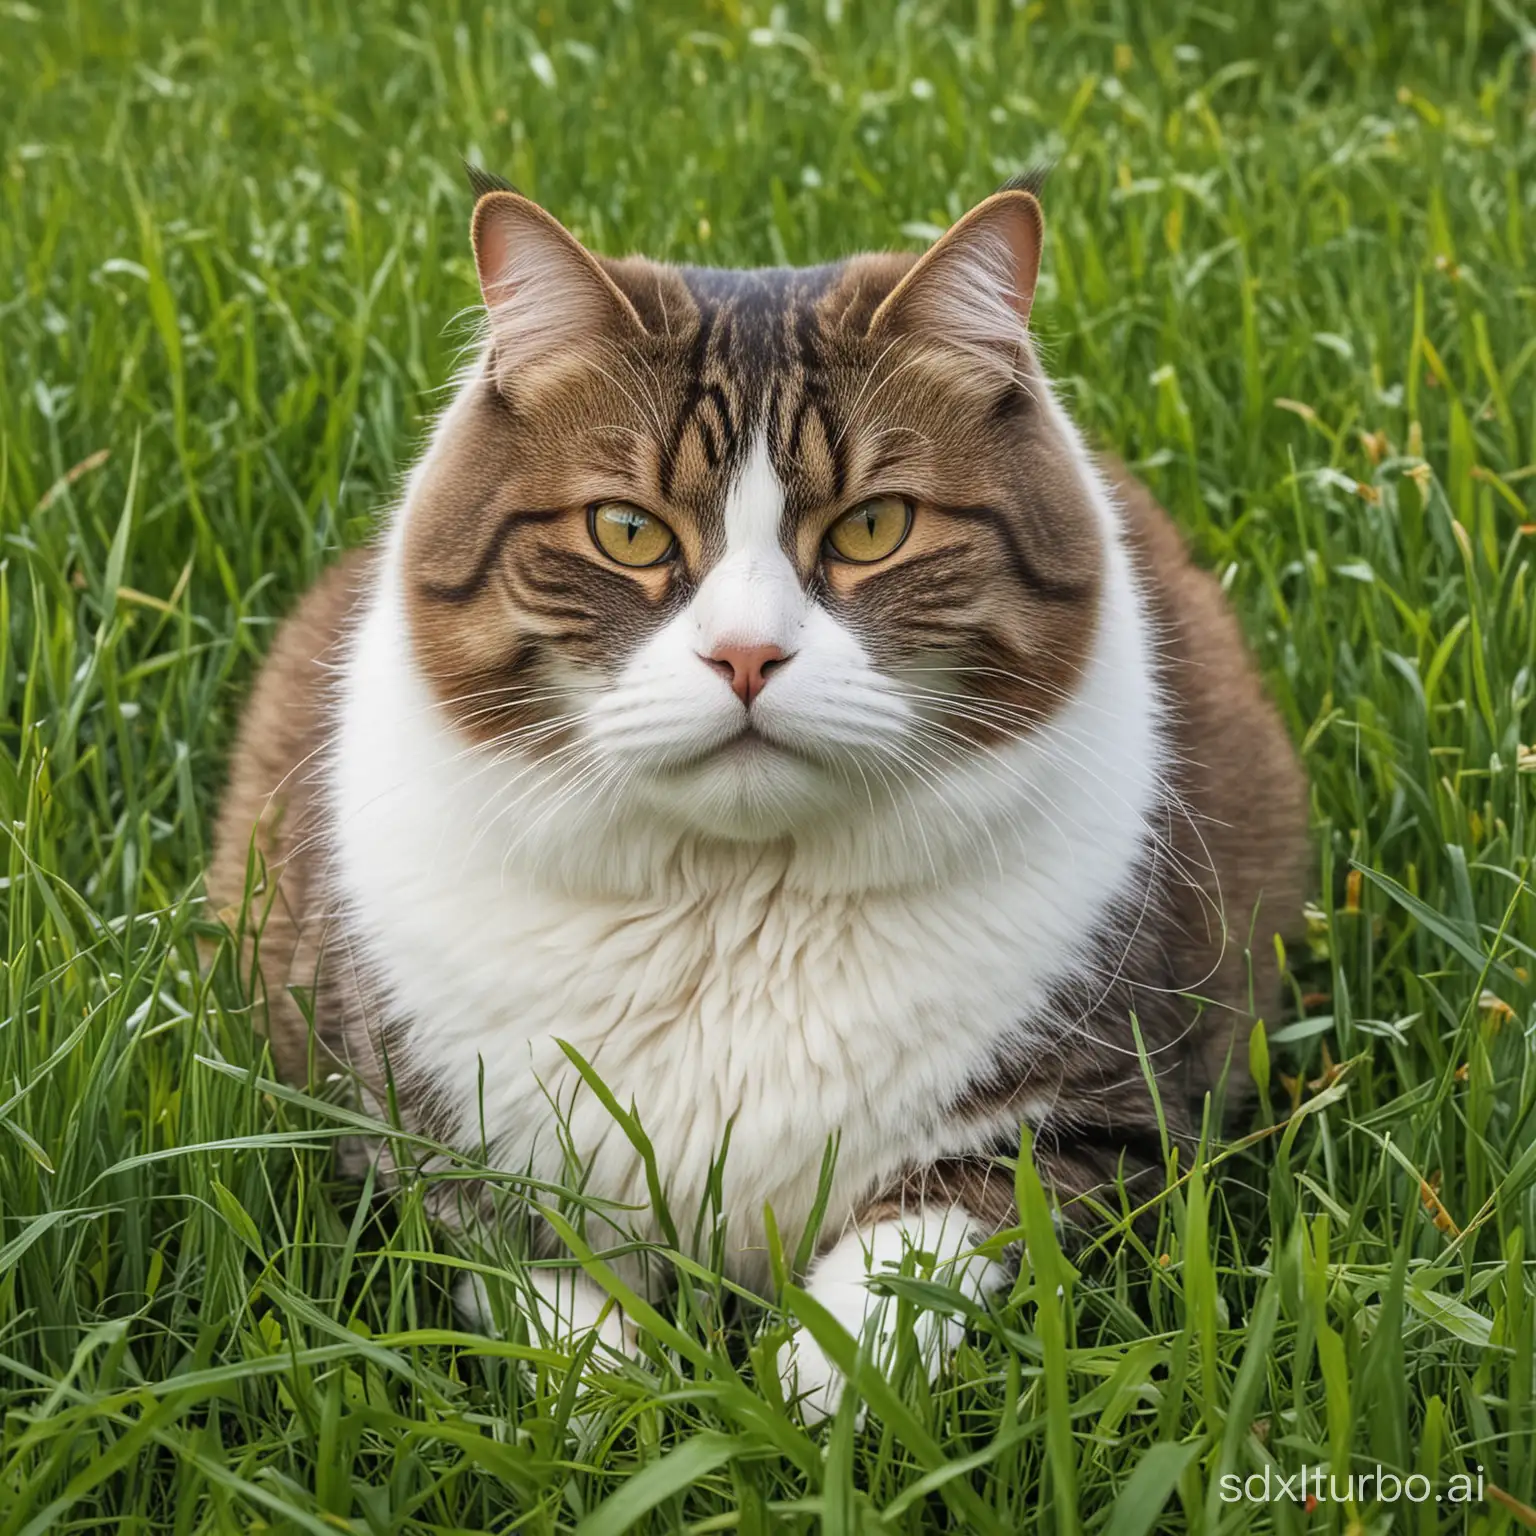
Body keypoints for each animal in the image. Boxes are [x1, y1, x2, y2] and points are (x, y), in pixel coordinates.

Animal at [207, 176, 1308, 1413]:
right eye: (626, 529)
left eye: (874, 526)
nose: (744, 655)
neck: (733, 906)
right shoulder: (403, 1127)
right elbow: (539, 1280)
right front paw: (623, 1394)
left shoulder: (1103, 1117)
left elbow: (915, 1259)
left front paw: (808, 1389)